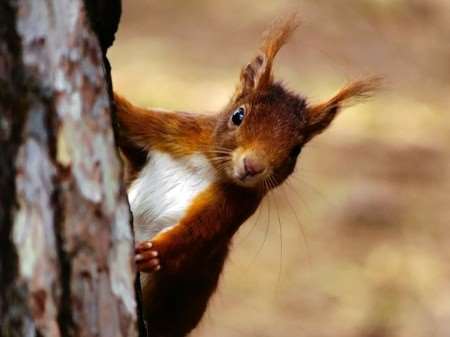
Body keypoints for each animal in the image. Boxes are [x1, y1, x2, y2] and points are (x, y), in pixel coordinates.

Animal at [113, 15, 376, 336]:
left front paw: (156, 253)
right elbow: (130, 117)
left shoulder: (233, 206)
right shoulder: (173, 129)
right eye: (238, 115)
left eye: (296, 150)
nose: (253, 166)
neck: (208, 166)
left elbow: (195, 235)